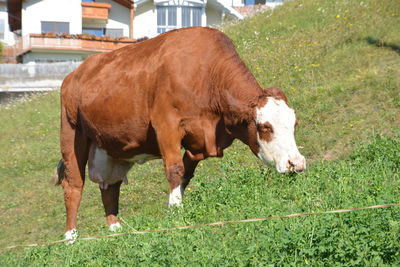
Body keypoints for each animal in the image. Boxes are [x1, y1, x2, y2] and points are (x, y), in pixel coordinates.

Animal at [55, 26, 306, 242]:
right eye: (265, 127)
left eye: (294, 124)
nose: (297, 163)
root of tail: (75, 73)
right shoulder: (166, 124)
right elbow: (175, 170)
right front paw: (176, 217)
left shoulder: (198, 143)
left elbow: (186, 174)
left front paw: (175, 212)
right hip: (71, 132)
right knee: (74, 186)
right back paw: (71, 238)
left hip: (111, 148)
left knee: (110, 188)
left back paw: (115, 232)